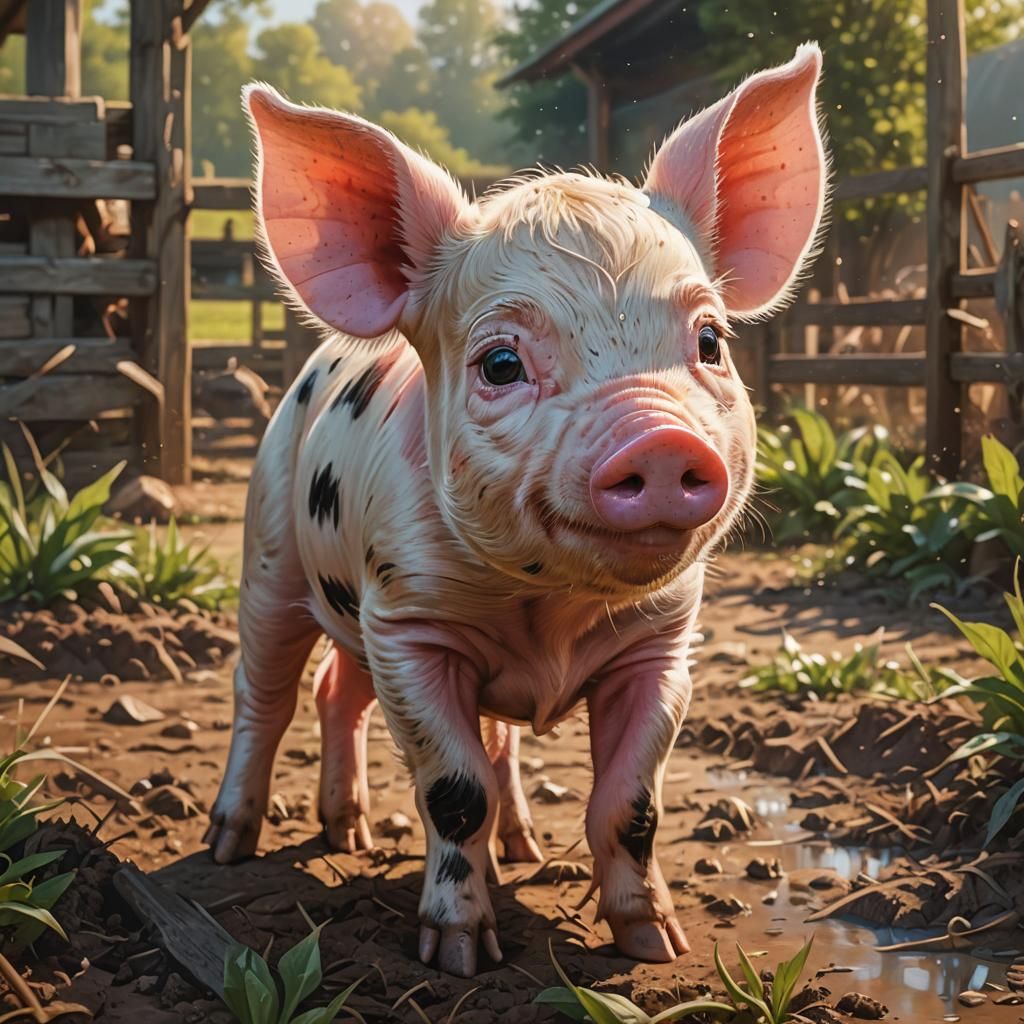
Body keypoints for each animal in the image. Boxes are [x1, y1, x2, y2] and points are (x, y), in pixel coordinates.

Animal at [204, 44, 828, 977]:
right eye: (501, 362)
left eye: (710, 341)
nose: (657, 439)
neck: (549, 612)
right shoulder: (409, 626)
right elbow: (453, 790)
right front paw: (459, 954)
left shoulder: (662, 648)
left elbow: (630, 802)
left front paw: (655, 944)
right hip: (271, 551)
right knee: (267, 693)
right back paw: (230, 845)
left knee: (351, 696)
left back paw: (397, 837)